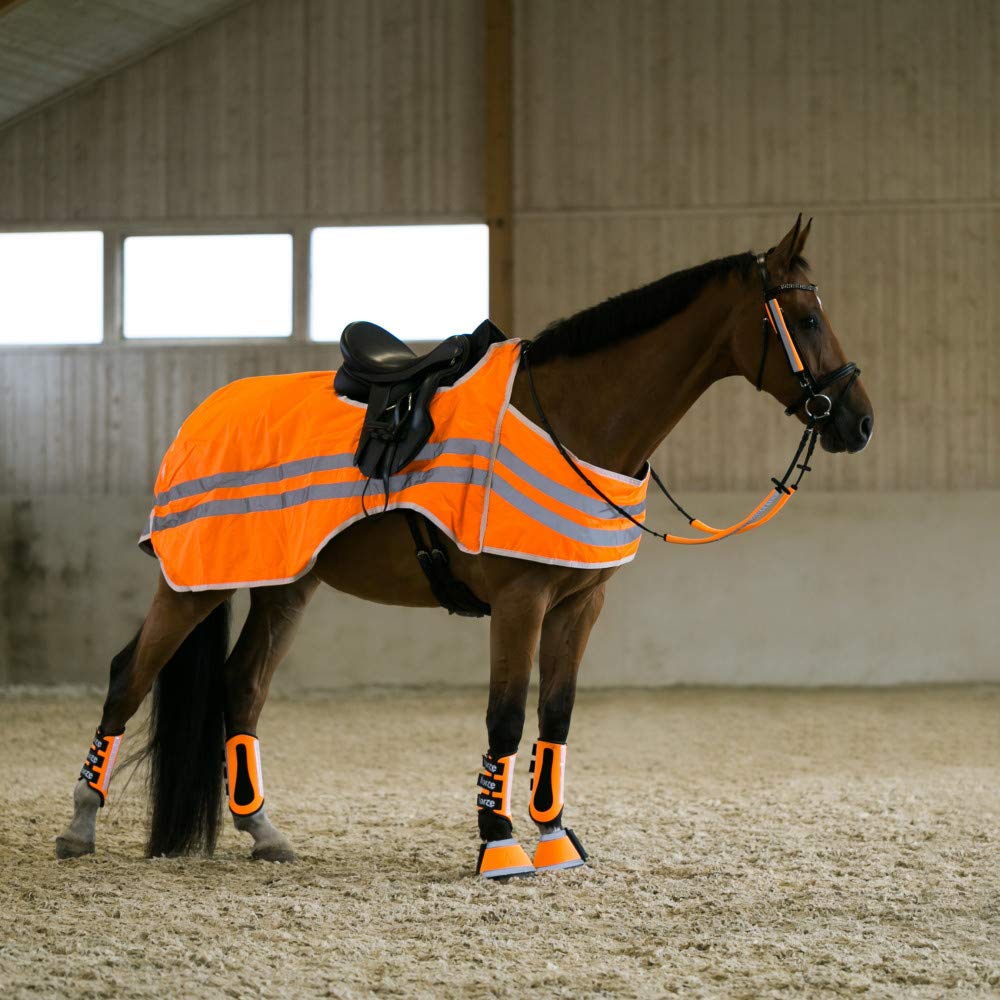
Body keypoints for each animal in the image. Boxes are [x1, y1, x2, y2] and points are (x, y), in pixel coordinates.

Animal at [56, 217, 874, 877]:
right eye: (804, 316)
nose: (858, 422)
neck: (569, 419)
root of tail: (205, 414)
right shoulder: (520, 601)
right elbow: (505, 718)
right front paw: (499, 843)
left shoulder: (580, 603)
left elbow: (556, 718)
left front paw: (556, 839)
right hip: (195, 580)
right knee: (129, 675)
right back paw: (79, 828)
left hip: (287, 584)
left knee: (242, 686)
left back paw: (265, 833)